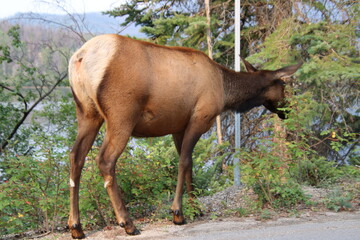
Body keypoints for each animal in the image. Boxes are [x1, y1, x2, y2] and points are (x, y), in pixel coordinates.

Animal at [67, 33, 300, 238]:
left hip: (87, 113)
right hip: (121, 114)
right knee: (105, 160)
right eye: (284, 86)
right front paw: (178, 212)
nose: (287, 111)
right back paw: (128, 223)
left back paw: (76, 227)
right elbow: (184, 161)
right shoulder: (200, 118)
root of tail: (80, 57)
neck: (226, 93)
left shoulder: (179, 127)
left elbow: (189, 165)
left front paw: (195, 208)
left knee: (75, 156)